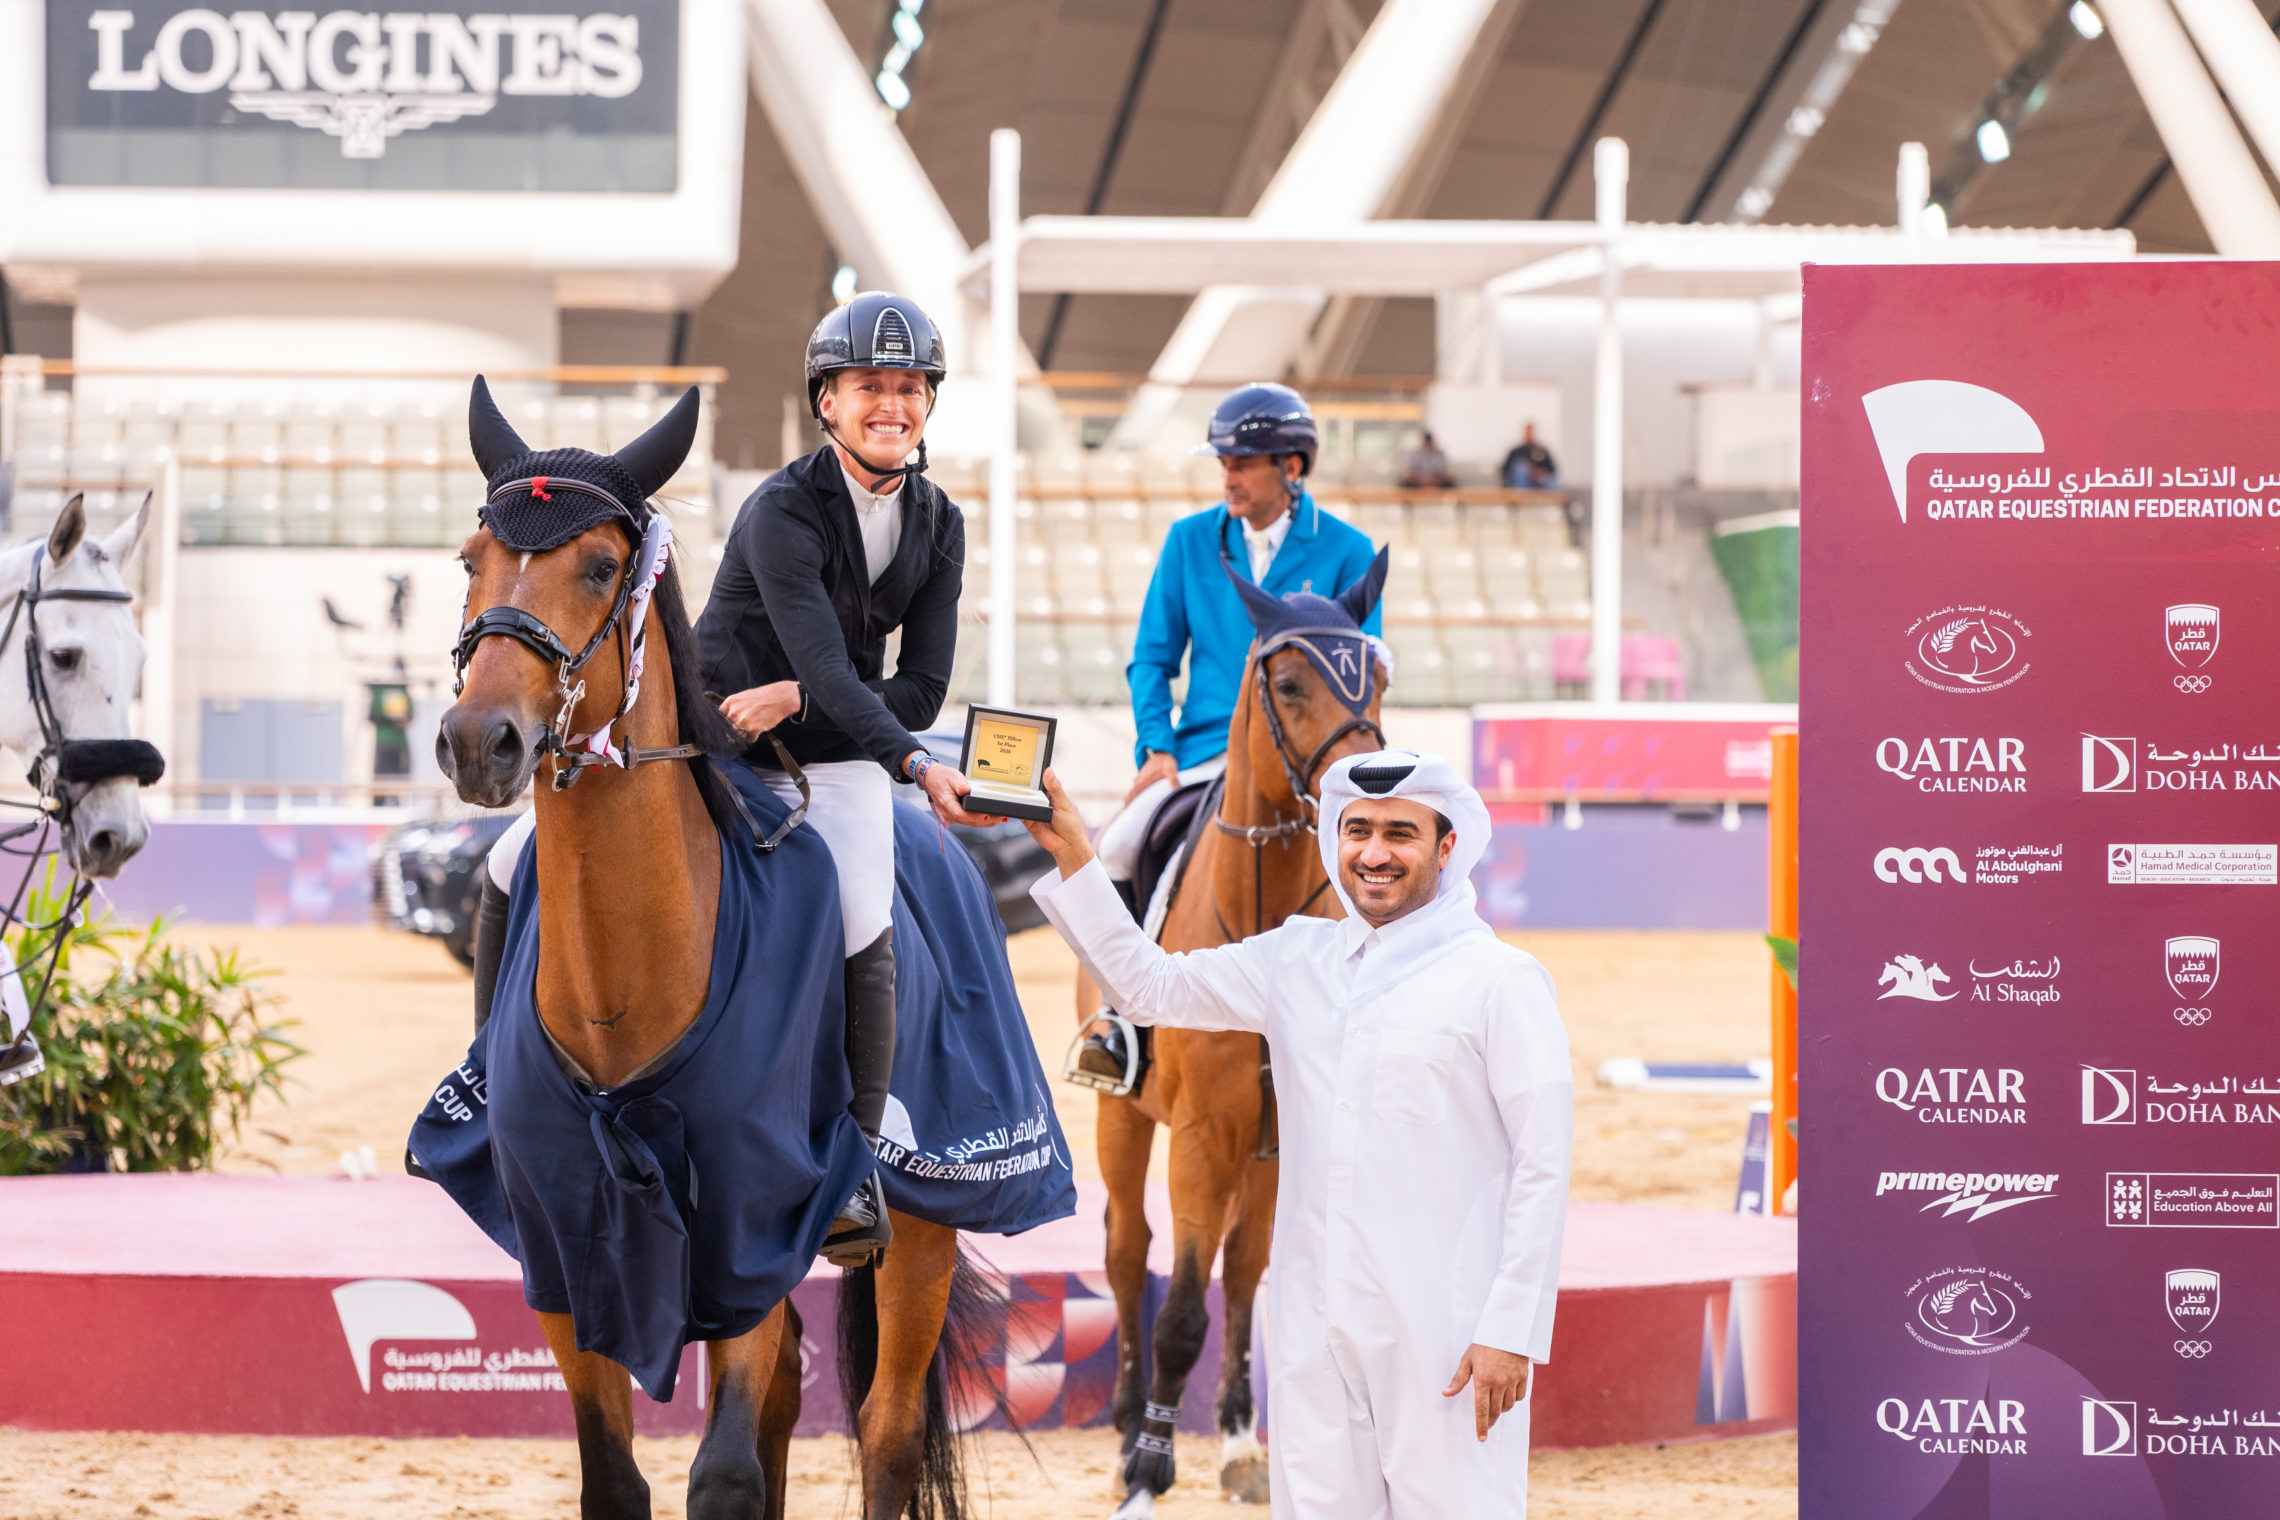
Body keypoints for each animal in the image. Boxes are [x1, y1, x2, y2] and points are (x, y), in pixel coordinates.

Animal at [432, 396, 991, 1520]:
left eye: (602, 566)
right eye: (473, 559)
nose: (481, 742)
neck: (626, 984)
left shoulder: (747, 1224)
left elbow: (722, 1475)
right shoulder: (568, 1249)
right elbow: (616, 1477)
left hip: (921, 1226)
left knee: (887, 1428)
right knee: (790, 1403)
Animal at [1081, 563, 1389, 1516]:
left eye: (1379, 676)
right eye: (1287, 683)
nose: (1371, 780)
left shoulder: (1277, 1135)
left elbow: (1249, 1278)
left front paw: (1244, 1443)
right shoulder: (1204, 1136)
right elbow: (1182, 1309)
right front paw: (1147, 1471)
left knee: (1243, 1265)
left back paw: (1235, 1435)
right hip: (1125, 1118)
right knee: (1125, 1248)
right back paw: (1123, 1426)